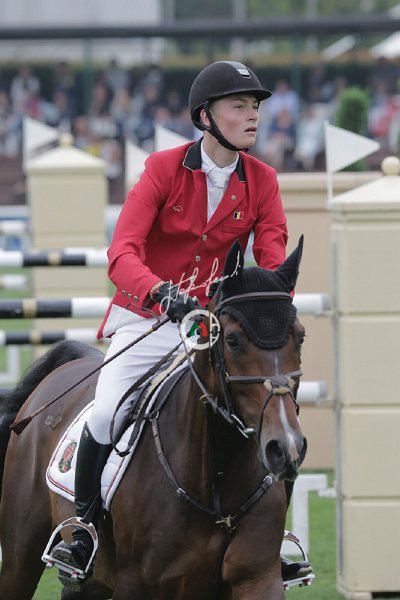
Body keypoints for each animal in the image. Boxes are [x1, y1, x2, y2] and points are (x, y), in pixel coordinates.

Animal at [0, 236, 308, 600]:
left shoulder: (258, 579)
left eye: (300, 336)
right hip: (21, 555)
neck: (216, 479)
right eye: (232, 340)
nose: (285, 446)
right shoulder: (136, 585)